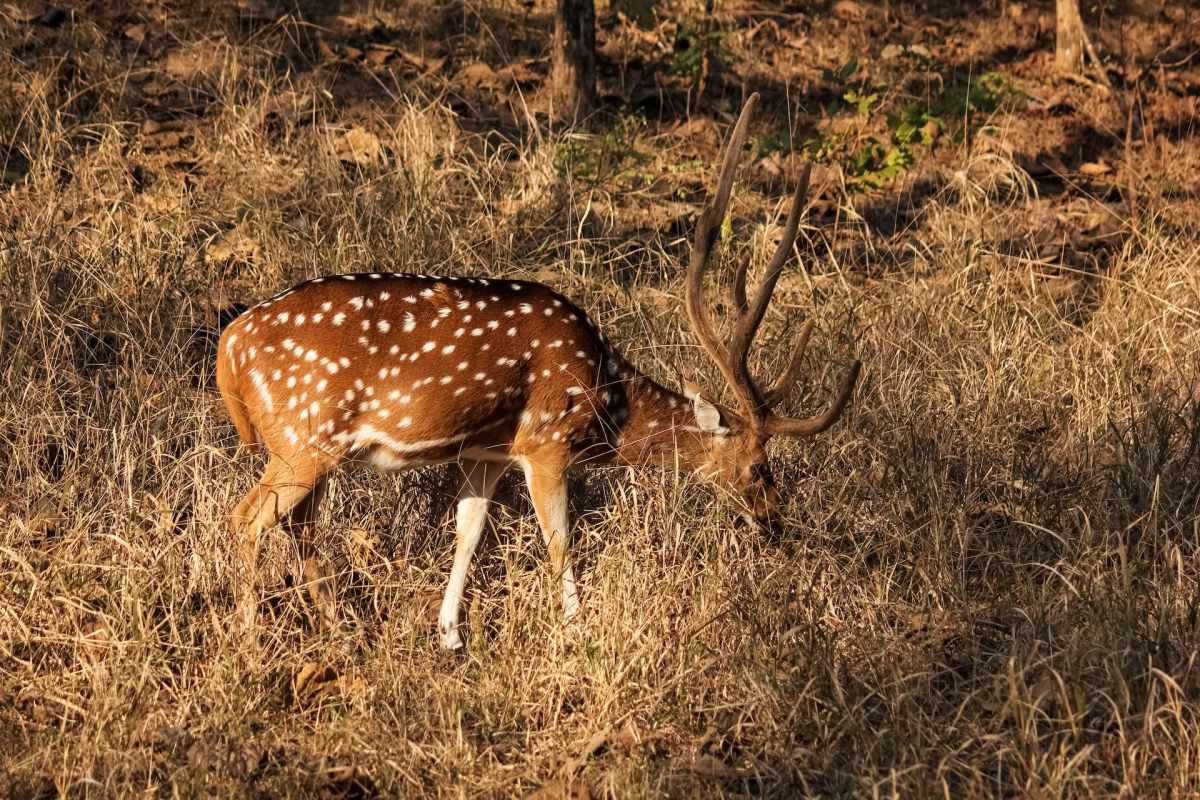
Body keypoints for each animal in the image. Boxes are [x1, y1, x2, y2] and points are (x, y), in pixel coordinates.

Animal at [213, 95, 854, 652]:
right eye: (758, 467)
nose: (775, 520)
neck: (607, 402)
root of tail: (229, 343)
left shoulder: (487, 450)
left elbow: (468, 531)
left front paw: (450, 636)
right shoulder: (546, 441)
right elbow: (560, 541)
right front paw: (578, 631)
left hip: (315, 450)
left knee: (300, 530)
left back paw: (336, 628)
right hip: (303, 436)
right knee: (245, 519)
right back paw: (248, 635)